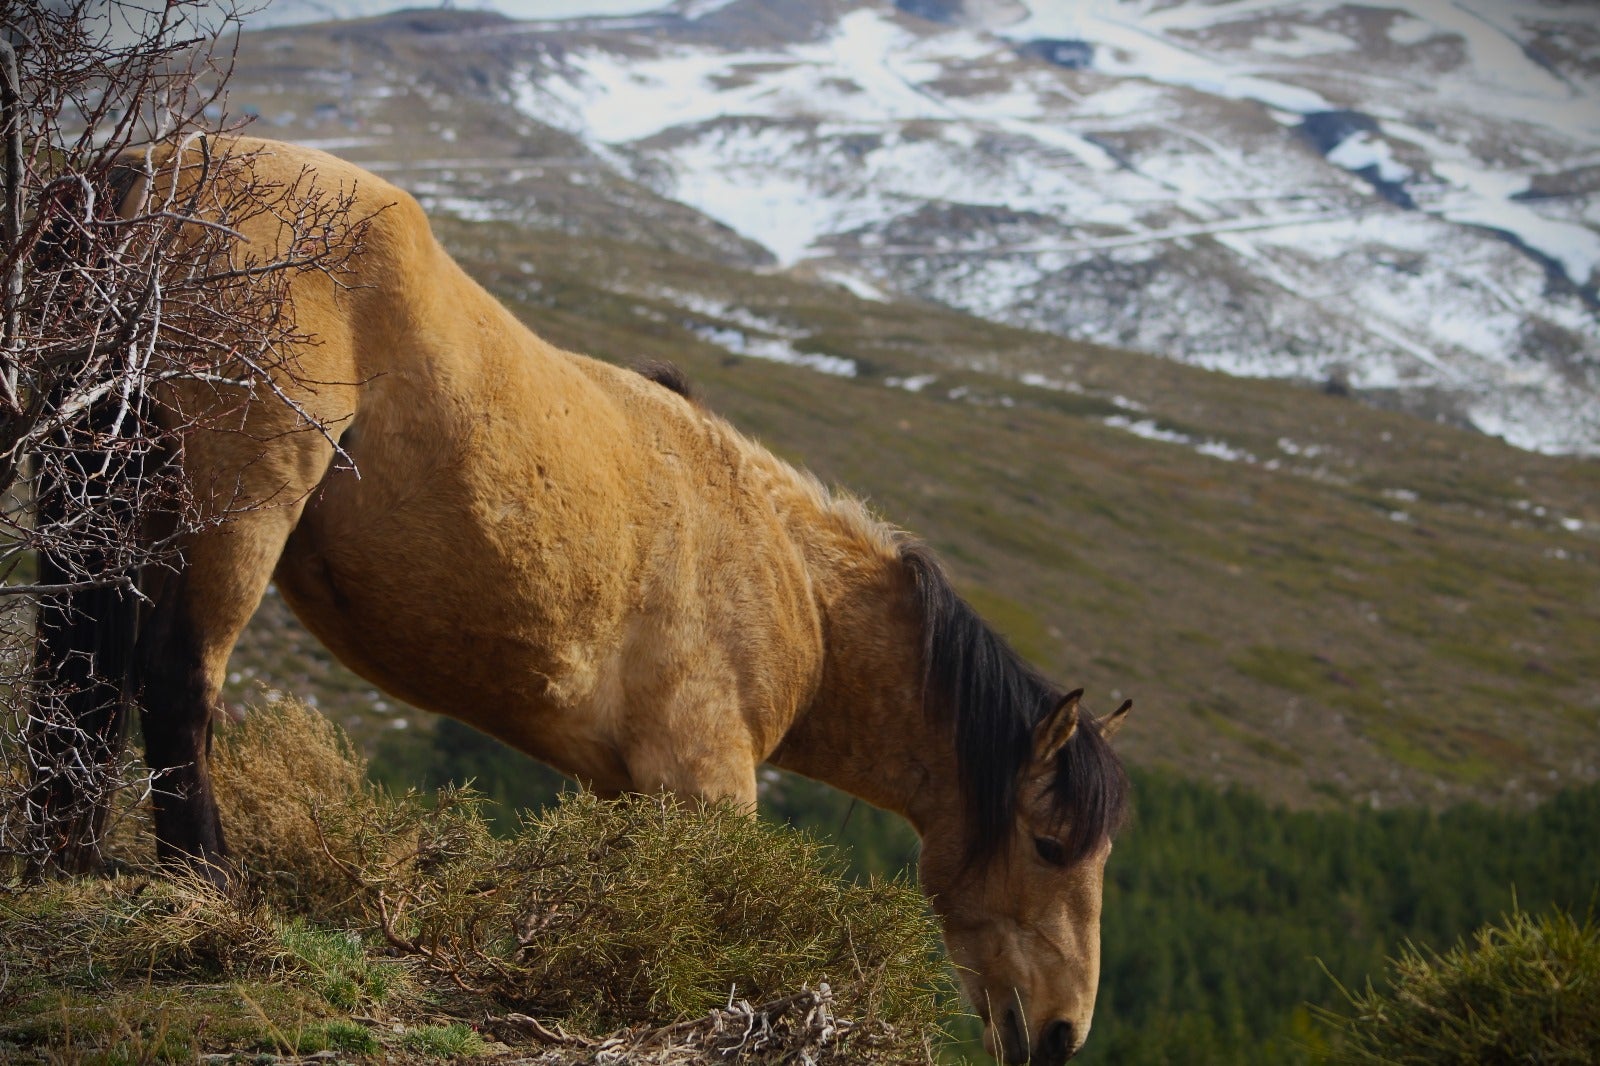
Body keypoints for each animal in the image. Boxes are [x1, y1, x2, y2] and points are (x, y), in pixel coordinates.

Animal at [33, 137, 1131, 1065]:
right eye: (1047, 845)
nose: (1061, 1032)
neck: (787, 575)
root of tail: (152, 169)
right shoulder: (703, 783)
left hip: (96, 489)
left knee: (79, 671)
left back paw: (67, 855)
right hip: (235, 501)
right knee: (177, 682)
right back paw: (209, 885)